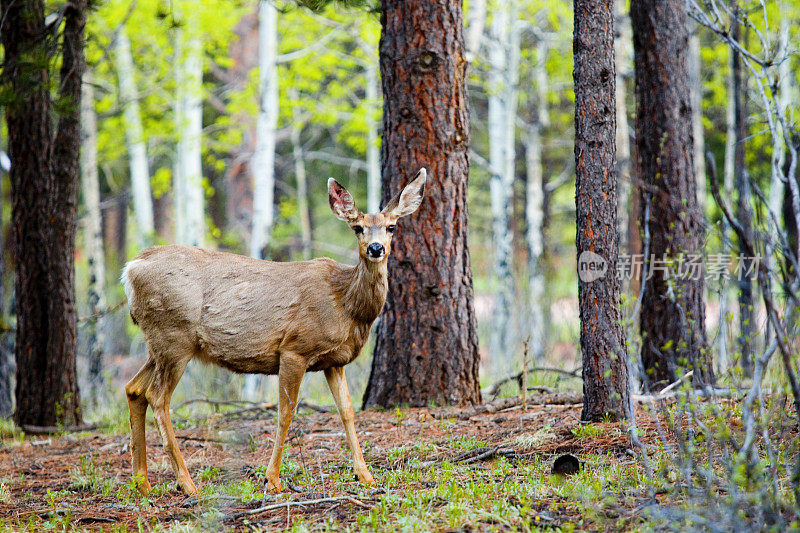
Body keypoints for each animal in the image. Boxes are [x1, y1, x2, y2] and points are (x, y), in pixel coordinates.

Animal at [119, 167, 428, 494]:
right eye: (357, 228)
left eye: (392, 227)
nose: (376, 248)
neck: (346, 304)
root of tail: (130, 269)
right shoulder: (294, 348)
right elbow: (286, 413)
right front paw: (273, 479)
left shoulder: (334, 362)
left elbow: (346, 411)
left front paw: (365, 475)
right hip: (173, 337)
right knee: (157, 397)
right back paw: (187, 483)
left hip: (158, 343)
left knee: (134, 389)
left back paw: (142, 483)